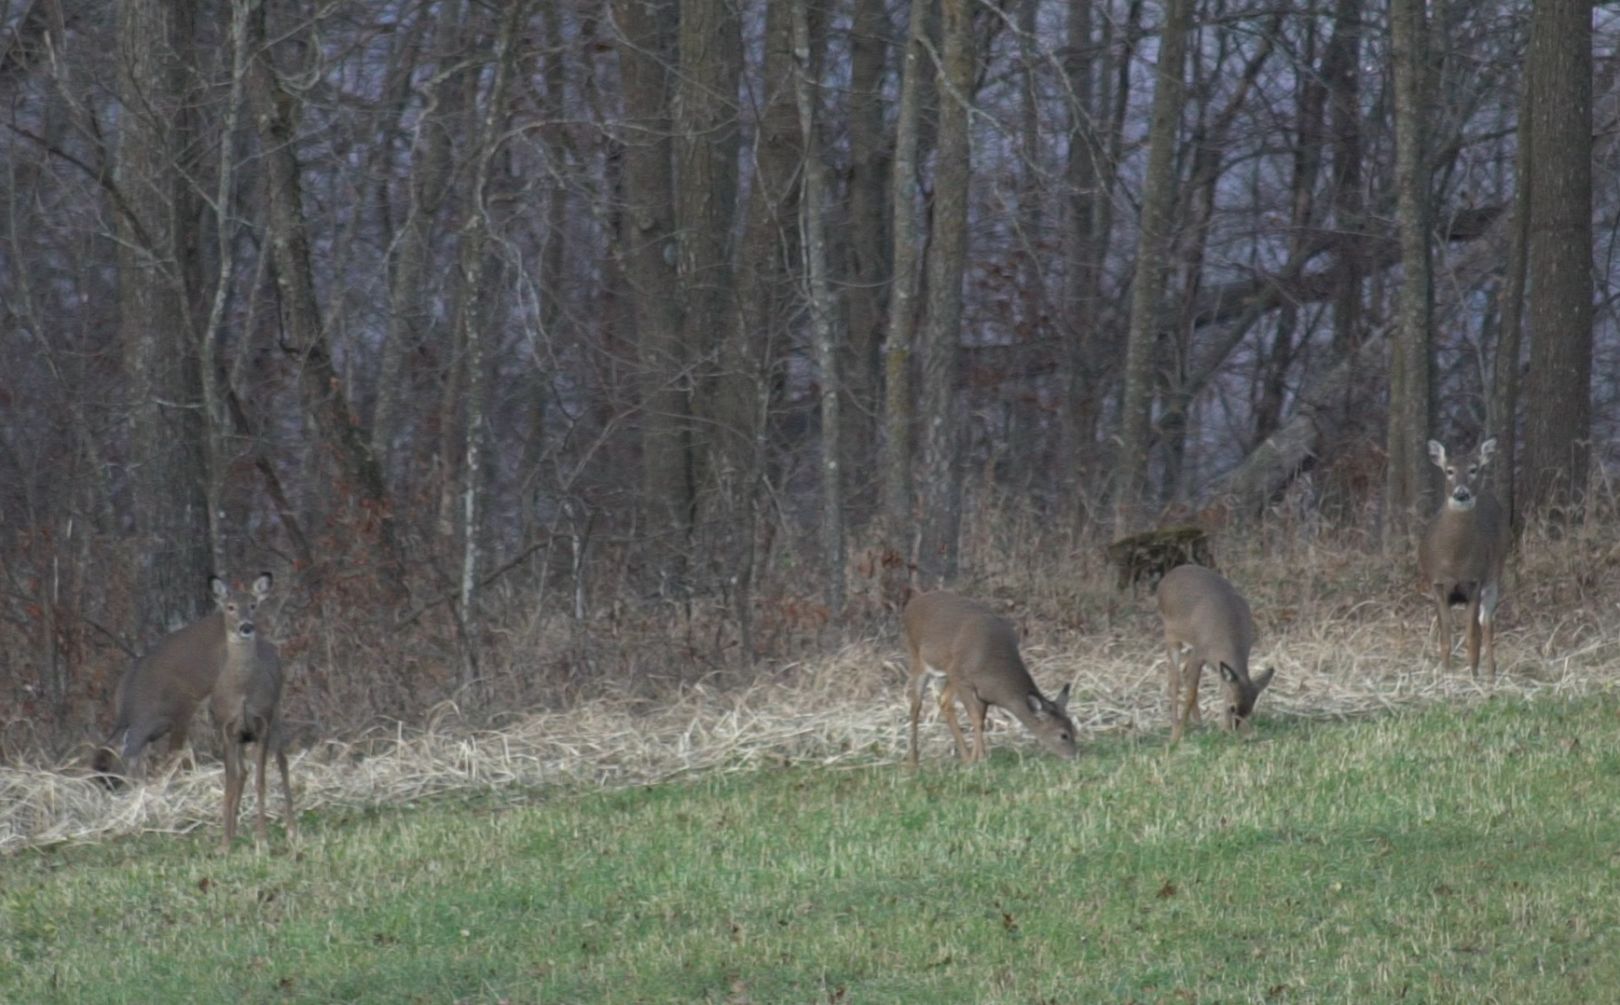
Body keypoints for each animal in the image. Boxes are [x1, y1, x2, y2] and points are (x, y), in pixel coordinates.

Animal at [207, 573, 293, 849]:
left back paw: (292, 829)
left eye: (254, 605)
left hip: (276, 715)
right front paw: (224, 843)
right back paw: (233, 832)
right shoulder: (226, 728)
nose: (246, 627)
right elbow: (230, 783)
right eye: (230, 607)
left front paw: (262, 840)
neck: (242, 691)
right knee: (241, 773)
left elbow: (261, 782)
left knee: (282, 762)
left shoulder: (261, 724)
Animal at [900, 593, 1075, 765]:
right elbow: (975, 718)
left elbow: (981, 720)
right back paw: (913, 763)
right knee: (915, 707)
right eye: (1063, 735)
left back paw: (964, 757)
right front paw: (981, 759)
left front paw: (976, 757)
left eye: (1074, 729)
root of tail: (911, 603)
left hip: (944, 674)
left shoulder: (984, 693)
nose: (1075, 755)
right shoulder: (961, 677)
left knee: (942, 701)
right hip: (918, 660)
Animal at [1159, 564, 1270, 745]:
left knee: (1183, 670)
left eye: (1248, 710)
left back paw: (1199, 724)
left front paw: (1248, 733)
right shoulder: (1200, 652)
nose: (1231, 729)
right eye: (1231, 707)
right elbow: (1191, 693)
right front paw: (1176, 737)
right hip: (1171, 635)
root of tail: (1166, 578)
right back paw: (1176, 728)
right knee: (1174, 679)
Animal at [1419, 434, 1503, 677]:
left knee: (1487, 622)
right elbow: (1445, 637)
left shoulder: (1474, 581)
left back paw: (1491, 673)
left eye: (1474, 469)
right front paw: (1445, 674)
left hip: (1495, 571)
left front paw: (1473, 676)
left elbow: (1472, 637)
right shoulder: (1436, 583)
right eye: (1449, 471)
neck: (1454, 560)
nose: (1461, 493)